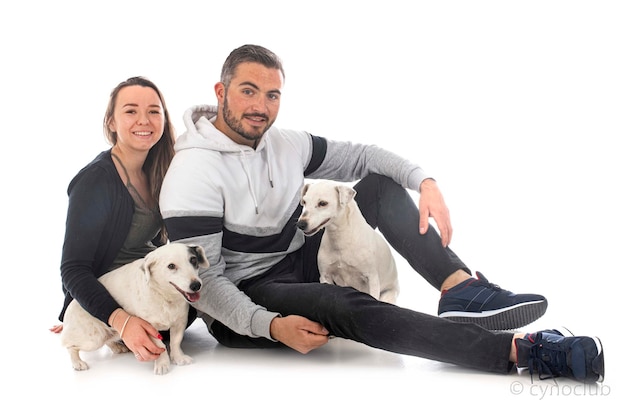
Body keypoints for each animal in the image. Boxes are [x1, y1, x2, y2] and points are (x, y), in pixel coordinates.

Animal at [59, 240, 208, 374]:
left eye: (193, 260)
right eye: (171, 266)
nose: (196, 285)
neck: (165, 297)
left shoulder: (180, 322)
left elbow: (176, 342)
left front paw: (178, 357)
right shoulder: (149, 328)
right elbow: (160, 346)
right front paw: (162, 363)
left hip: (113, 332)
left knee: (107, 340)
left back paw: (117, 347)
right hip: (93, 338)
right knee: (69, 346)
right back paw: (77, 362)